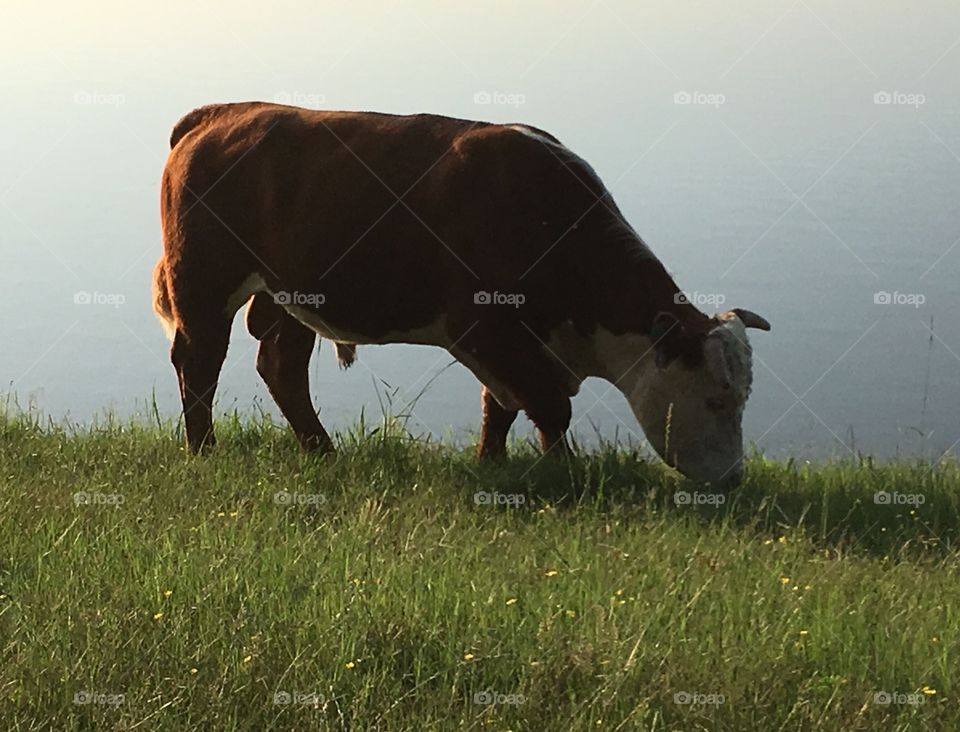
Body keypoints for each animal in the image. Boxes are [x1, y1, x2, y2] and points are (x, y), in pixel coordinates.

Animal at [153, 102, 770, 486]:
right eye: (716, 399)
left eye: (744, 398)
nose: (734, 479)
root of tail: (224, 112)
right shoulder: (484, 326)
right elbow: (550, 405)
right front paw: (562, 470)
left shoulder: (514, 343)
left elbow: (501, 406)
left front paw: (492, 463)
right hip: (203, 282)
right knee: (199, 363)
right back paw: (203, 452)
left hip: (291, 296)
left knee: (280, 366)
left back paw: (321, 450)